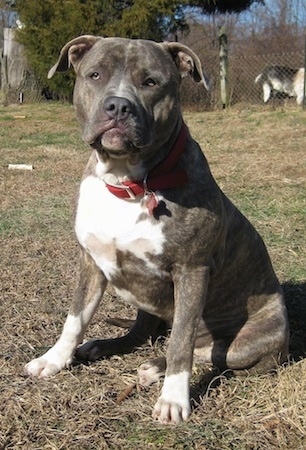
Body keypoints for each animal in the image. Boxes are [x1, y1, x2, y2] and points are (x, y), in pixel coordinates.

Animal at [24, 36, 290, 426]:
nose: (118, 105)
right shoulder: (90, 261)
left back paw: (156, 368)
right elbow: (75, 318)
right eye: (95, 74)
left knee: (209, 353)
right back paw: (104, 346)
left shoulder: (191, 271)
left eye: (151, 82)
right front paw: (54, 360)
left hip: (253, 337)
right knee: (144, 332)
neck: (127, 181)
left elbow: (181, 341)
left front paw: (174, 399)